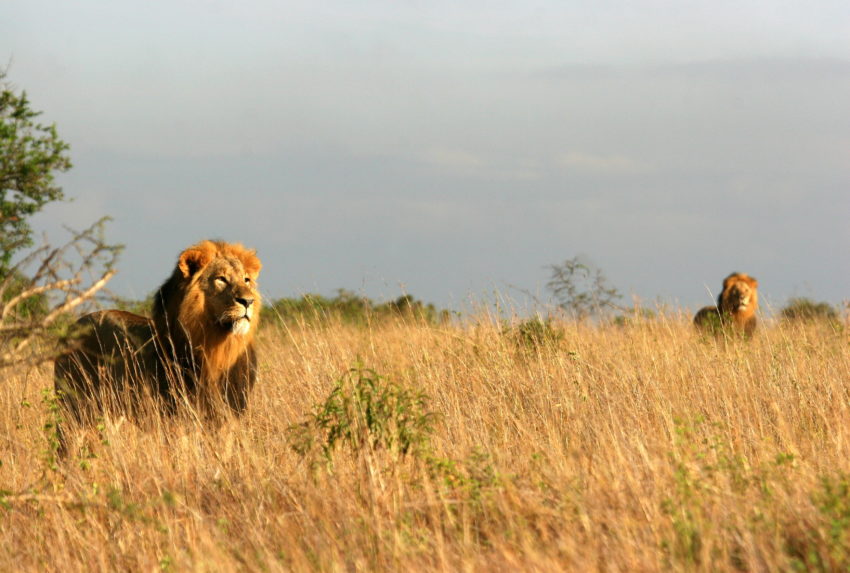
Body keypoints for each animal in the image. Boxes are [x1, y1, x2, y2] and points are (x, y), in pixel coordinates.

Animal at [53, 240, 262, 434]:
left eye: (246, 280)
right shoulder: (173, 417)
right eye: (221, 279)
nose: (248, 301)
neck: (218, 348)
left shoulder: (228, 416)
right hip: (74, 408)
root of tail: (74, 324)